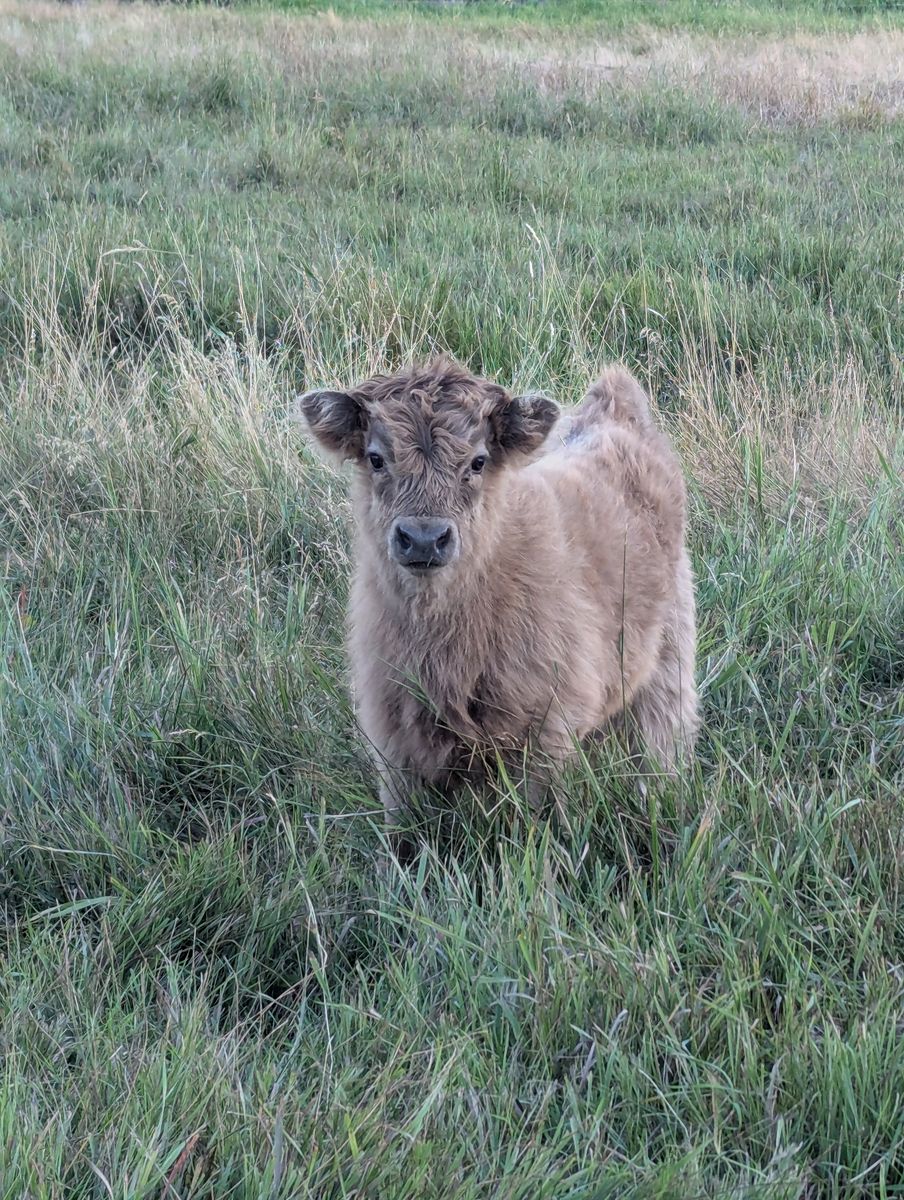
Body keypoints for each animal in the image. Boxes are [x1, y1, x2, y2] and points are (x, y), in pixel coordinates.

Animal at [299, 357, 699, 823]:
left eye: (477, 462)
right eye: (376, 458)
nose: (423, 538)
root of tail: (618, 414)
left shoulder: (546, 733)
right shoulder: (394, 740)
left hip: (669, 665)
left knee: (661, 743)